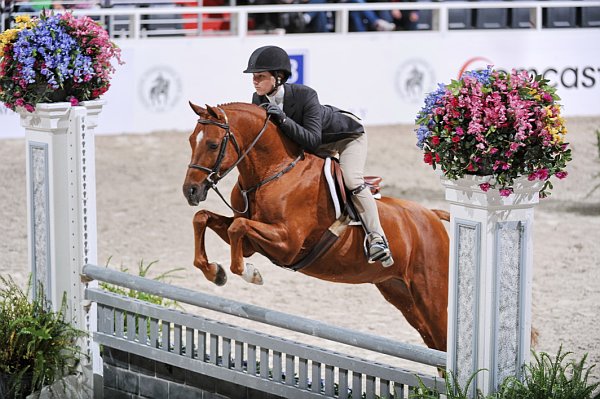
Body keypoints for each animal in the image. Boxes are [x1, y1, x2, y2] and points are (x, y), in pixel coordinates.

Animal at [183, 101, 450, 352]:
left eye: (212, 145)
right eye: (191, 141)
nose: (190, 191)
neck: (274, 172)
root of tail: (432, 215)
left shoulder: (287, 244)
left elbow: (237, 227)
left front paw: (251, 274)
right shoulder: (252, 243)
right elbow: (203, 218)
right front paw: (215, 272)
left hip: (431, 297)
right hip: (399, 293)